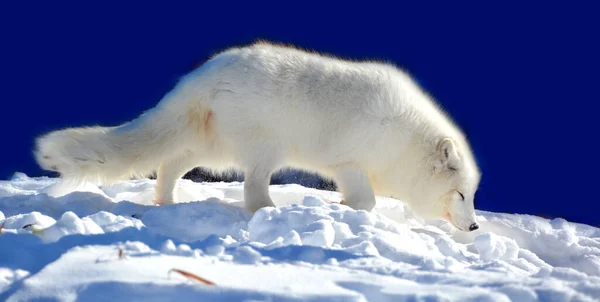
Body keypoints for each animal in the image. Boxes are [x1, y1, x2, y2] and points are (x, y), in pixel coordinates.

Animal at [32, 42, 482, 231]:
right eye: (461, 194)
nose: (476, 227)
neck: (404, 142)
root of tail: (202, 74)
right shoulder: (349, 163)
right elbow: (366, 200)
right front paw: (344, 210)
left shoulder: (349, 168)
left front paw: (341, 207)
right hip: (264, 151)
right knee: (250, 190)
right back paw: (268, 211)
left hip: (208, 148)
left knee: (169, 165)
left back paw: (166, 203)